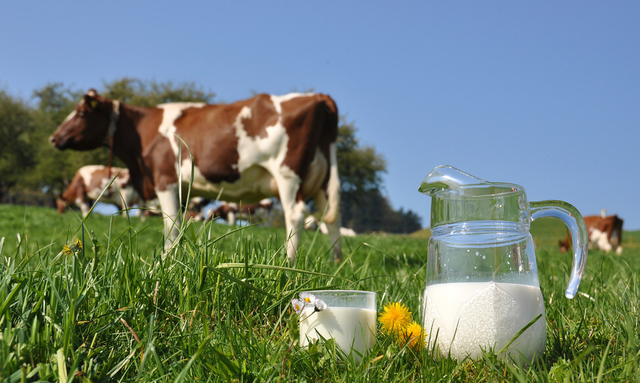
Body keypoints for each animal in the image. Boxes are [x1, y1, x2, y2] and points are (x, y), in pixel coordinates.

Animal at [50, 90, 342, 264]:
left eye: (82, 113)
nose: (54, 138)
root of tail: (319, 96)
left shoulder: (165, 180)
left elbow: (170, 226)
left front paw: (166, 261)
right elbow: (179, 225)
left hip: (288, 175)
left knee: (296, 215)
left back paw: (288, 263)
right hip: (323, 180)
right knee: (332, 220)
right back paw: (335, 264)